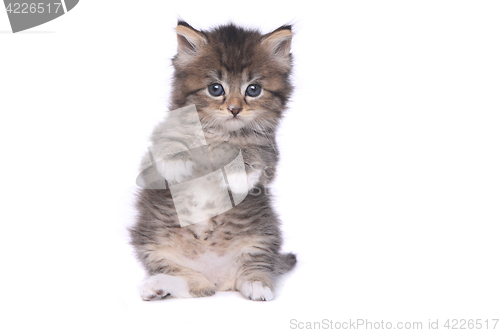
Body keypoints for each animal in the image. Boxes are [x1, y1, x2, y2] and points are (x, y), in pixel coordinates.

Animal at [130, 20, 296, 300]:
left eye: (253, 89)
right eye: (215, 89)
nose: (234, 109)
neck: (218, 135)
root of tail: (219, 280)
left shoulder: (270, 156)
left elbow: (254, 151)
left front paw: (238, 173)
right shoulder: (152, 156)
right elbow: (169, 141)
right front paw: (177, 161)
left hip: (263, 236)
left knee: (256, 267)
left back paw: (258, 285)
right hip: (155, 246)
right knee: (192, 283)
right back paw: (157, 286)